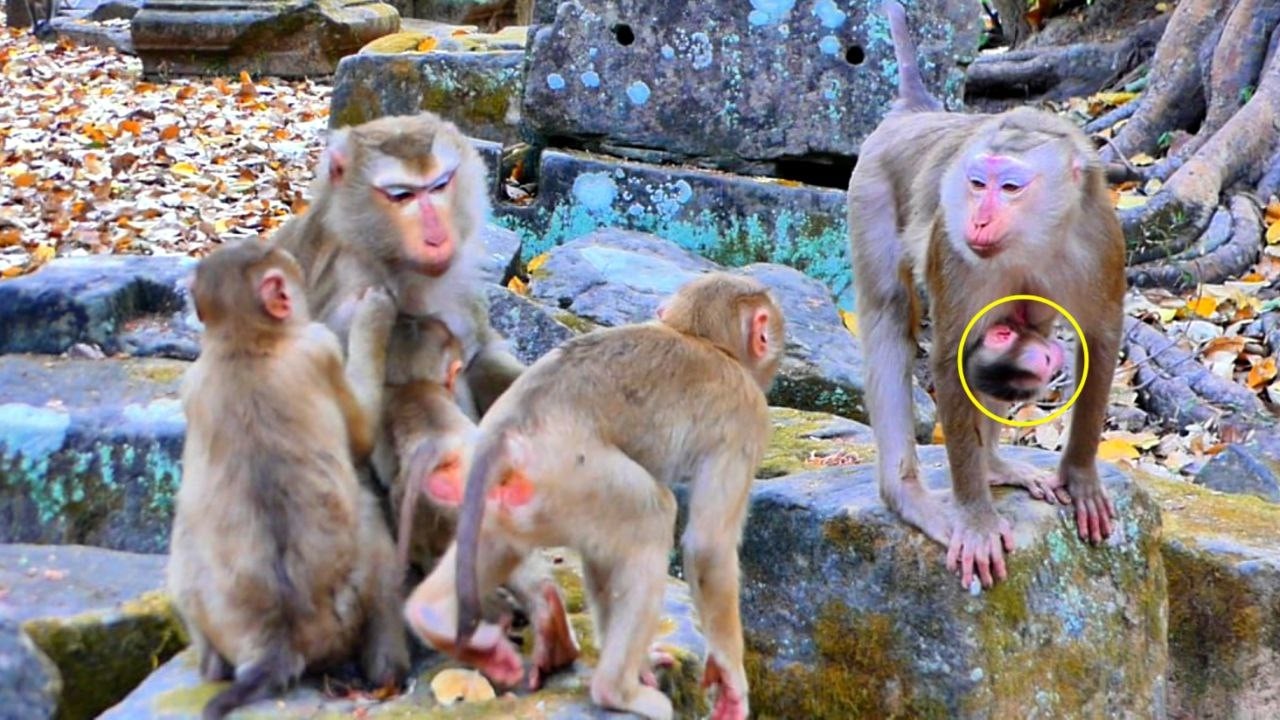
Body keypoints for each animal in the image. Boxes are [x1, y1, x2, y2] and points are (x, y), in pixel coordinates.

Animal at [167, 240, 409, 720]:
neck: (245, 342)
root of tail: (276, 641)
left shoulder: (192, 379)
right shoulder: (319, 347)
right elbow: (361, 438)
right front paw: (371, 315)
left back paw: (211, 664)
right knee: (370, 517)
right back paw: (388, 670)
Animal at [400, 273, 785, 720]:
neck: (701, 340)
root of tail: (506, 432)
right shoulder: (748, 419)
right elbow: (708, 548)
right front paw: (730, 682)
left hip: (506, 493)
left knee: (501, 537)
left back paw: (434, 617)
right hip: (571, 475)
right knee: (651, 518)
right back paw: (617, 691)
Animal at [847, 1, 1124, 589]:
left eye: (1010, 187)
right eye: (977, 184)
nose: (977, 218)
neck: (1037, 237)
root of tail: (914, 116)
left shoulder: (1100, 240)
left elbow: (1099, 338)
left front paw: (1080, 476)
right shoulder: (955, 251)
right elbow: (952, 354)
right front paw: (975, 517)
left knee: (1022, 321)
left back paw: (994, 465)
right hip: (870, 189)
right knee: (888, 315)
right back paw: (908, 494)